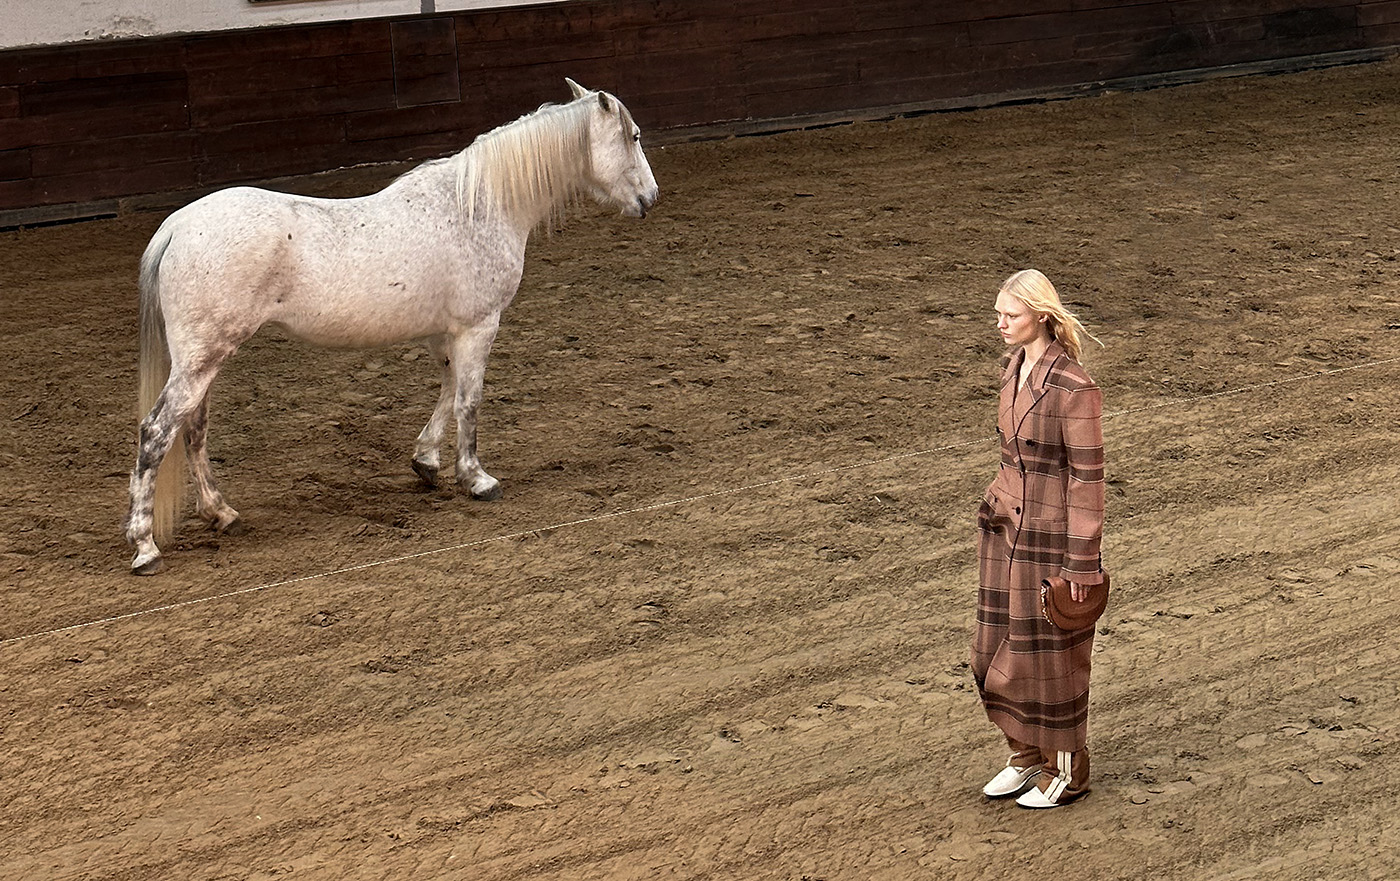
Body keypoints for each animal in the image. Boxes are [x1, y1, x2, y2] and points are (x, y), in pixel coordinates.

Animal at [126, 79, 660, 574]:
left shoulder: (443, 333)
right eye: (633, 136)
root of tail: (176, 226)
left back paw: (220, 513)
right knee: (158, 431)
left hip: (204, 361)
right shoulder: (478, 326)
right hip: (202, 360)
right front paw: (476, 478)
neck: (478, 205)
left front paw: (426, 461)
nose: (650, 198)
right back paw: (145, 546)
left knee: (193, 429)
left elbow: (448, 389)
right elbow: (469, 401)